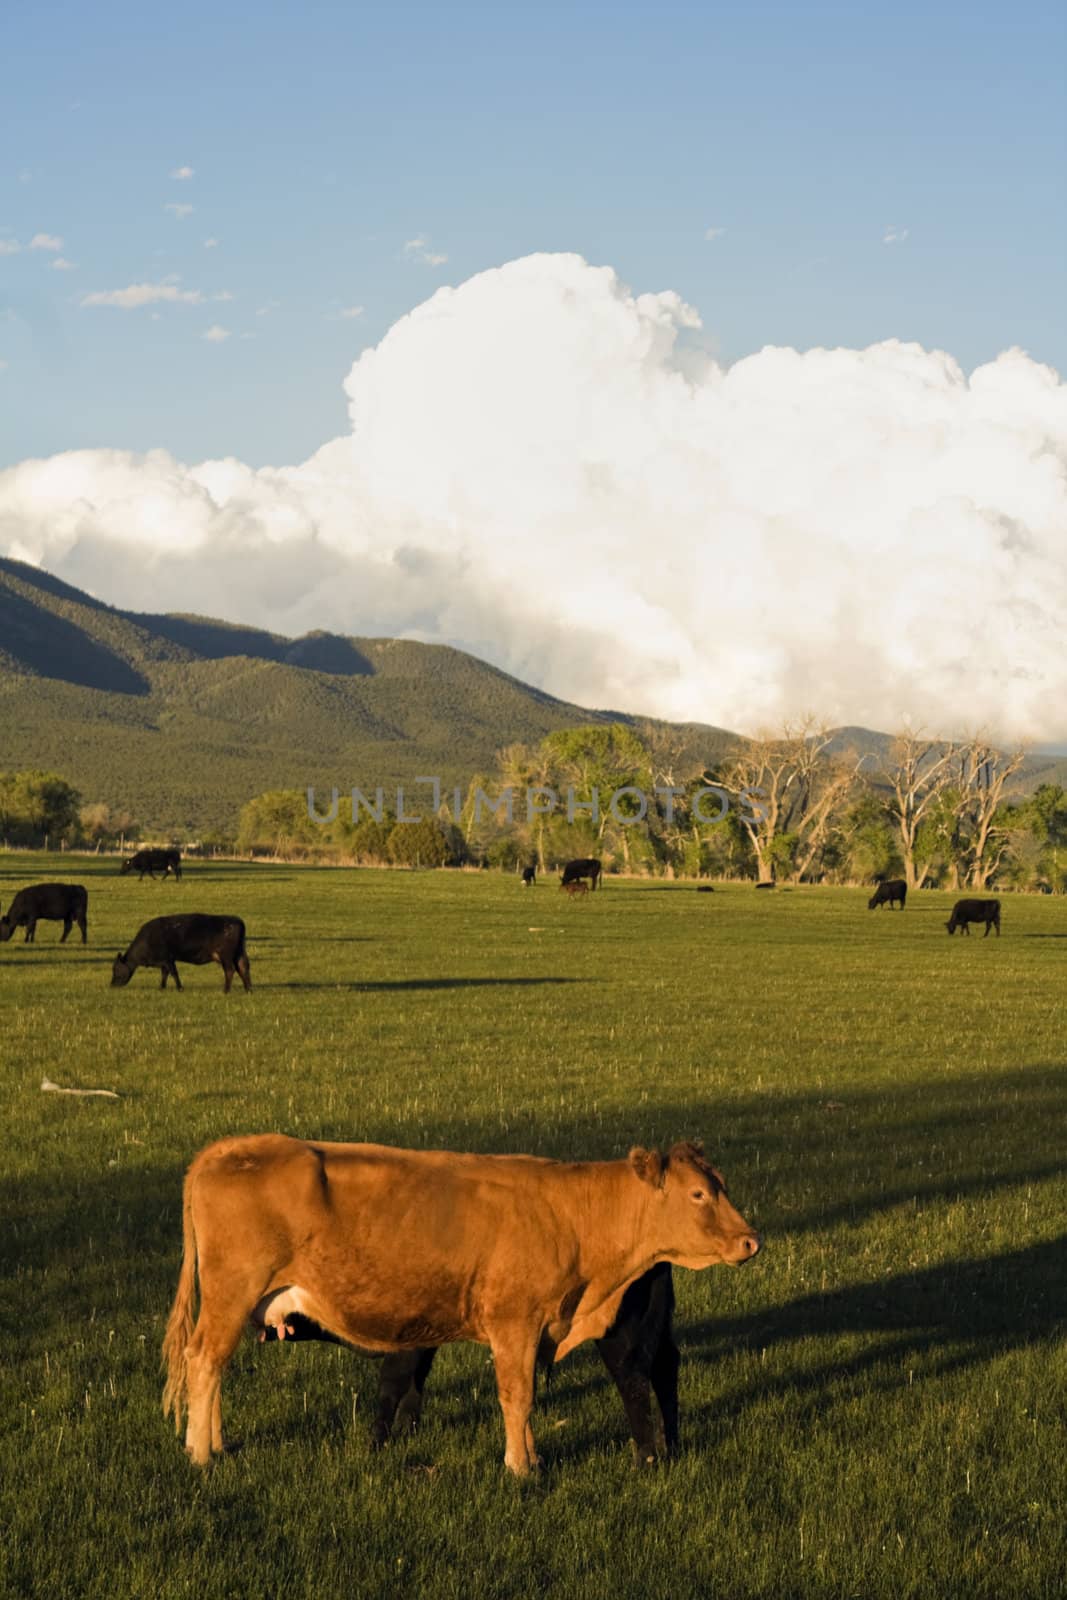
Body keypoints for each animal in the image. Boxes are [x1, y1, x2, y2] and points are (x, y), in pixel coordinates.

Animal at [110, 915, 251, 985]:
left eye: (116, 969)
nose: (112, 984)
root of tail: (238, 920)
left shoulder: (167, 959)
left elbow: (174, 973)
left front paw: (180, 988)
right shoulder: (165, 962)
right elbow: (165, 975)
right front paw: (162, 988)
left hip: (226, 956)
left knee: (230, 971)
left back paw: (226, 991)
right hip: (239, 953)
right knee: (243, 968)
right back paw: (248, 990)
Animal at [259, 1260, 675, 1465]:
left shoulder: (404, 1349)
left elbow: (390, 1389)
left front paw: (376, 1445)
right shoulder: (423, 1345)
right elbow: (414, 1386)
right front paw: (409, 1430)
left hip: (620, 1336)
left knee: (633, 1384)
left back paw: (646, 1460)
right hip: (659, 1329)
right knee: (666, 1375)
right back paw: (672, 1445)